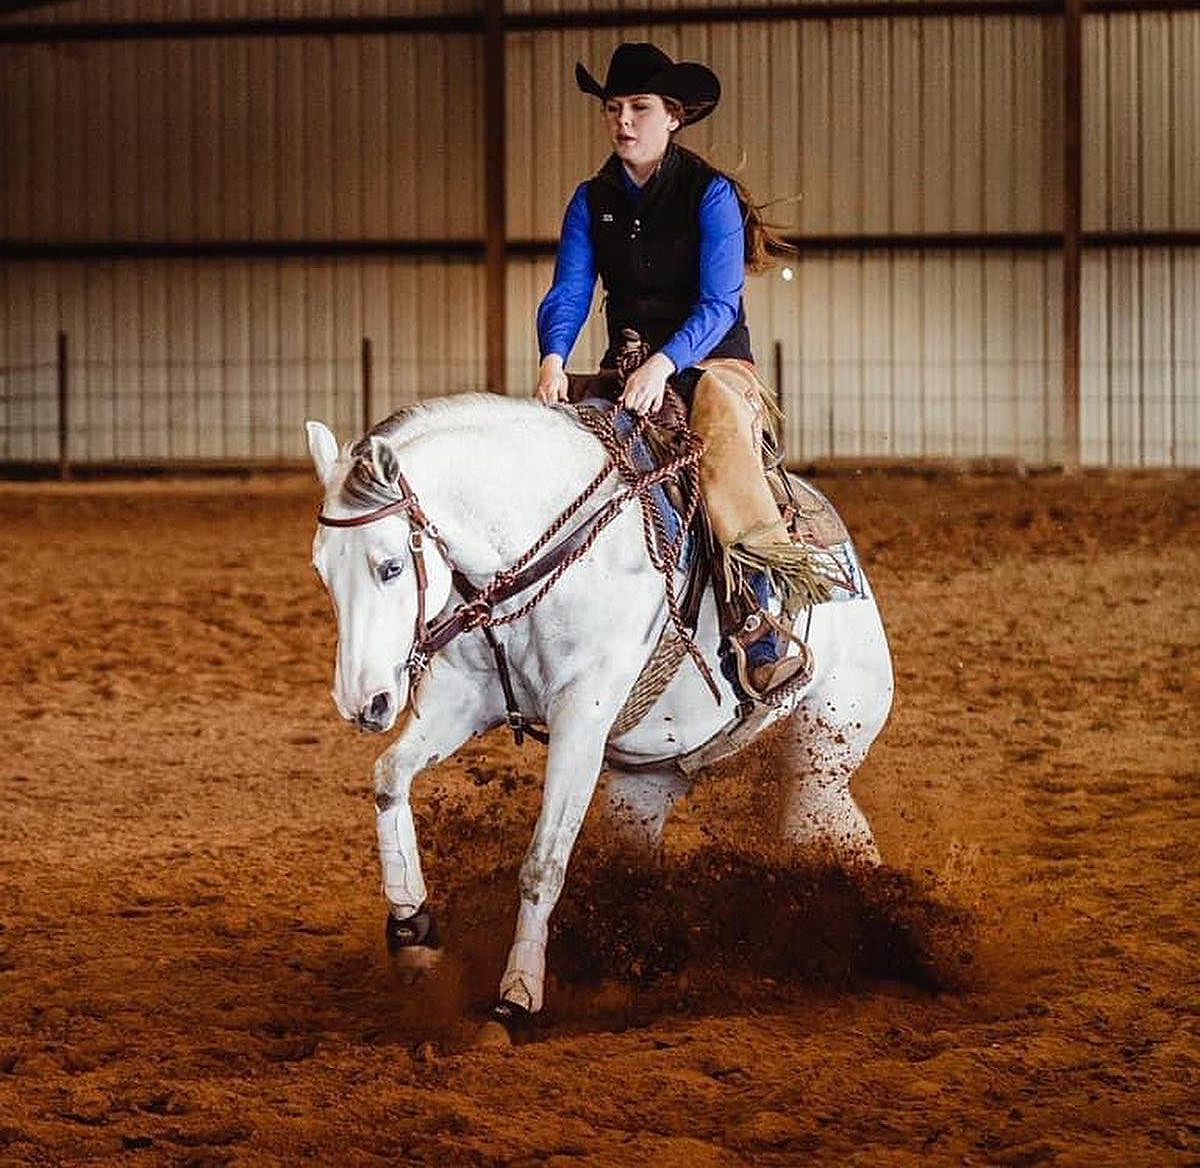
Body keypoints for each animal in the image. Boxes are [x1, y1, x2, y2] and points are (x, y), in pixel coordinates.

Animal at [305, 393, 893, 1026]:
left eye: (390, 566)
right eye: (322, 570)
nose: (362, 702)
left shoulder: (581, 721)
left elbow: (543, 863)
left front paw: (517, 994)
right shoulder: (463, 700)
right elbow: (389, 776)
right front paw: (411, 928)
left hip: (822, 755)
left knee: (834, 837)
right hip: (645, 788)